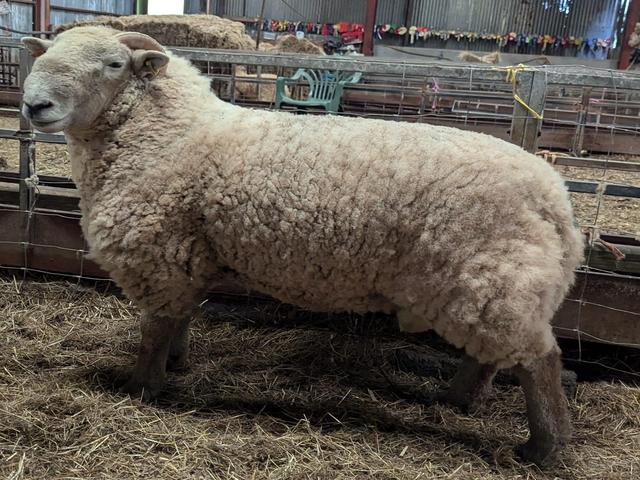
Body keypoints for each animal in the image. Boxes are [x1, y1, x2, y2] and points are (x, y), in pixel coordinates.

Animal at [21, 27, 584, 467]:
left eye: (114, 63)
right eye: (45, 56)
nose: (33, 105)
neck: (167, 132)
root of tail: (555, 199)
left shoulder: (157, 252)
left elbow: (154, 330)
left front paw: (144, 386)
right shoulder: (184, 253)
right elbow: (179, 318)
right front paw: (177, 364)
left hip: (491, 273)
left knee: (539, 361)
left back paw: (543, 448)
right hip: (490, 280)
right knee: (492, 354)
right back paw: (458, 398)